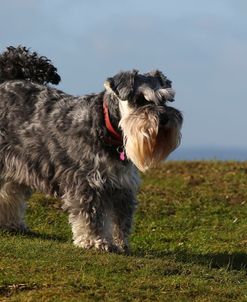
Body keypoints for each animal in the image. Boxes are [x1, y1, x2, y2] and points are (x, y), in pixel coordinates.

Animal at [0, 44, 181, 252]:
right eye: (140, 100)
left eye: (165, 100)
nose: (165, 118)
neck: (107, 127)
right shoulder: (87, 183)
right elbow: (91, 217)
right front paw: (96, 242)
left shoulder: (121, 186)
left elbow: (120, 220)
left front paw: (121, 244)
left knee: (10, 191)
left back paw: (11, 224)